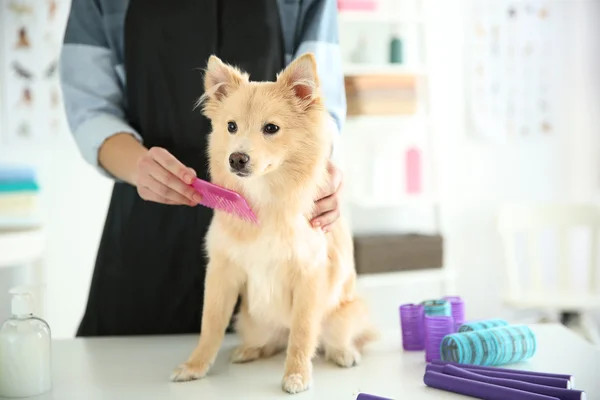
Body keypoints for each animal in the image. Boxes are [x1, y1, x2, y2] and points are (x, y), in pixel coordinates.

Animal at [169, 51, 376, 392]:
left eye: (271, 128)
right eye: (231, 126)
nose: (236, 158)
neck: (264, 197)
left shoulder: (308, 276)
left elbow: (303, 333)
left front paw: (297, 374)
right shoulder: (222, 273)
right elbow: (210, 325)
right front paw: (195, 366)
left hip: (345, 314)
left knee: (328, 339)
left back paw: (343, 353)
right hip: (251, 320)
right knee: (273, 342)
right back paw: (250, 350)